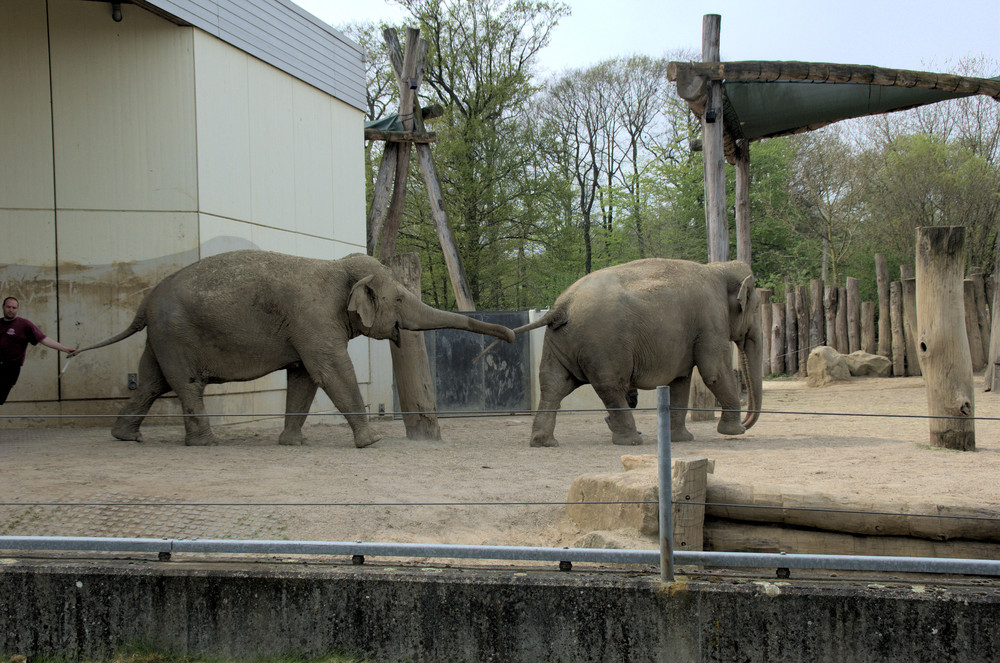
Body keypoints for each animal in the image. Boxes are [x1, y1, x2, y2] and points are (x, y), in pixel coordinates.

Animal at [72, 252, 516, 448]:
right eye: (401, 299)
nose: (509, 338)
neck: (337, 268)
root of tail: (144, 302)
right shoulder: (313, 318)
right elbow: (330, 370)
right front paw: (372, 442)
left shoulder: (306, 327)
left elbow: (304, 376)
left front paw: (293, 443)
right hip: (176, 335)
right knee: (186, 383)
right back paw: (205, 443)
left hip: (162, 337)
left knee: (152, 382)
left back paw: (125, 437)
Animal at [488, 256, 760, 448]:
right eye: (757, 308)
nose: (747, 425)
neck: (718, 268)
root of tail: (561, 306)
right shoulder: (711, 320)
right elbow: (714, 373)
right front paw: (734, 432)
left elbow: (680, 381)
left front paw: (683, 439)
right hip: (601, 343)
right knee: (610, 386)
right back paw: (631, 440)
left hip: (560, 341)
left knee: (554, 384)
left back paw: (545, 443)